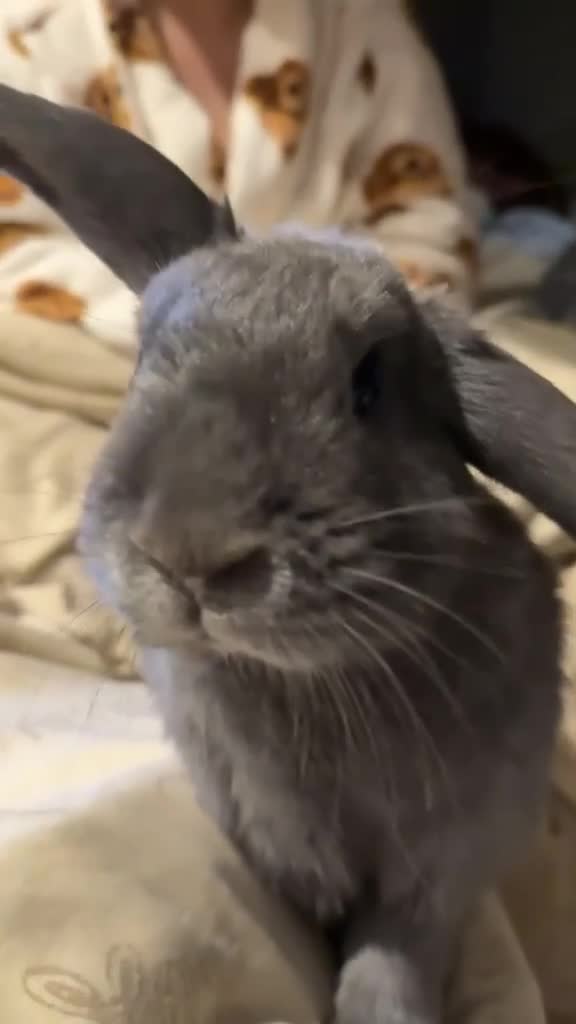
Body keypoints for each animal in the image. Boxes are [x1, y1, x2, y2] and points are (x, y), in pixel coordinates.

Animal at [2, 84, 576, 1024]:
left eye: (369, 385)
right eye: (145, 357)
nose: (188, 555)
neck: (309, 683)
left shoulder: (441, 873)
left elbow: (393, 958)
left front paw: (381, 1010)